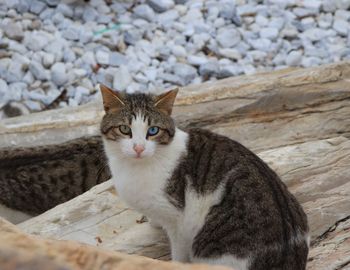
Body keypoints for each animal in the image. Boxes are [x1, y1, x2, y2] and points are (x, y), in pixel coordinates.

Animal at [99, 85, 308, 270]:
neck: (135, 166)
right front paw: (154, 221)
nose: (139, 148)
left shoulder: (178, 220)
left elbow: (179, 254)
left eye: (153, 131)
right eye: (125, 129)